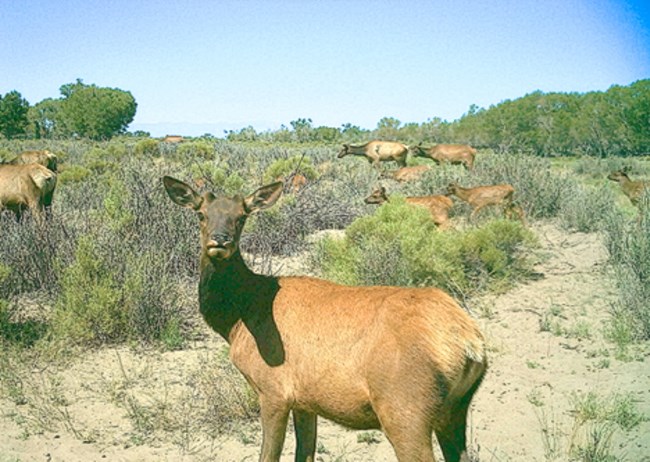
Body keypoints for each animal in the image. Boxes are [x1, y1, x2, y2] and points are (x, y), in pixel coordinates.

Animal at [163, 175, 487, 462]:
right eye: (201, 214)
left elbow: (269, 456)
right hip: (456, 409)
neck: (238, 319)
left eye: (242, 216)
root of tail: (470, 344)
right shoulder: (306, 401)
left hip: (405, 407)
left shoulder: (274, 391)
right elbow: (304, 454)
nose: (220, 241)